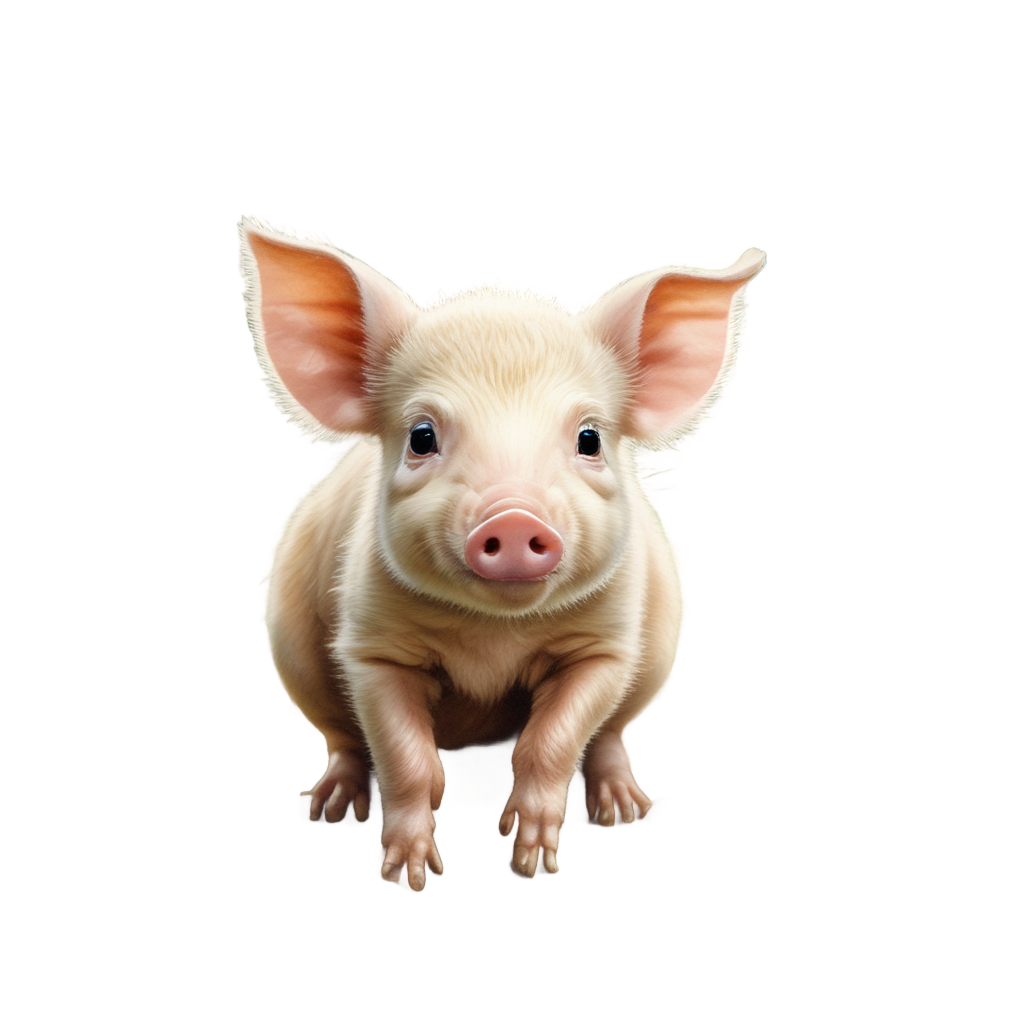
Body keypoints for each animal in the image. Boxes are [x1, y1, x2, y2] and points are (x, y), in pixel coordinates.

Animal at [240, 220, 763, 887]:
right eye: (421, 437)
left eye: (589, 438)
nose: (514, 519)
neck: (495, 634)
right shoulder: (373, 647)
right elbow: (404, 758)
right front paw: (411, 873)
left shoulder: (606, 646)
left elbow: (552, 744)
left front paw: (536, 861)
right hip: (298, 653)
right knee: (347, 741)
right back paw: (333, 807)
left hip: (655, 656)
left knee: (610, 735)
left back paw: (624, 811)